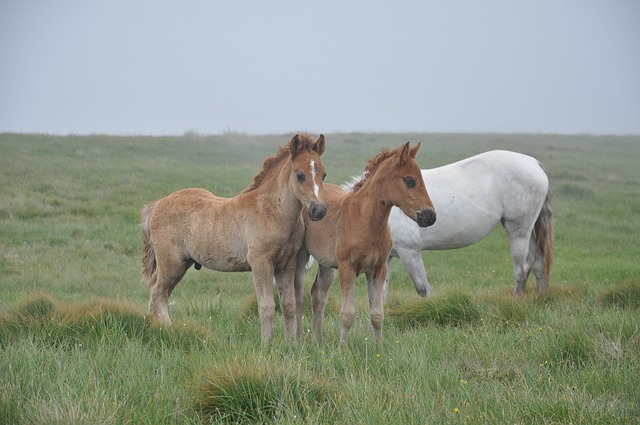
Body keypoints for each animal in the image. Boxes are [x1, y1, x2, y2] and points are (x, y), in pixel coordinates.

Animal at [382, 151, 552, 296]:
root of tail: (533, 163)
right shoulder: (386, 257)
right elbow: (381, 295)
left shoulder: (410, 251)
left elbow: (423, 289)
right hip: (526, 231)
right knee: (538, 264)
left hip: (518, 231)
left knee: (522, 270)